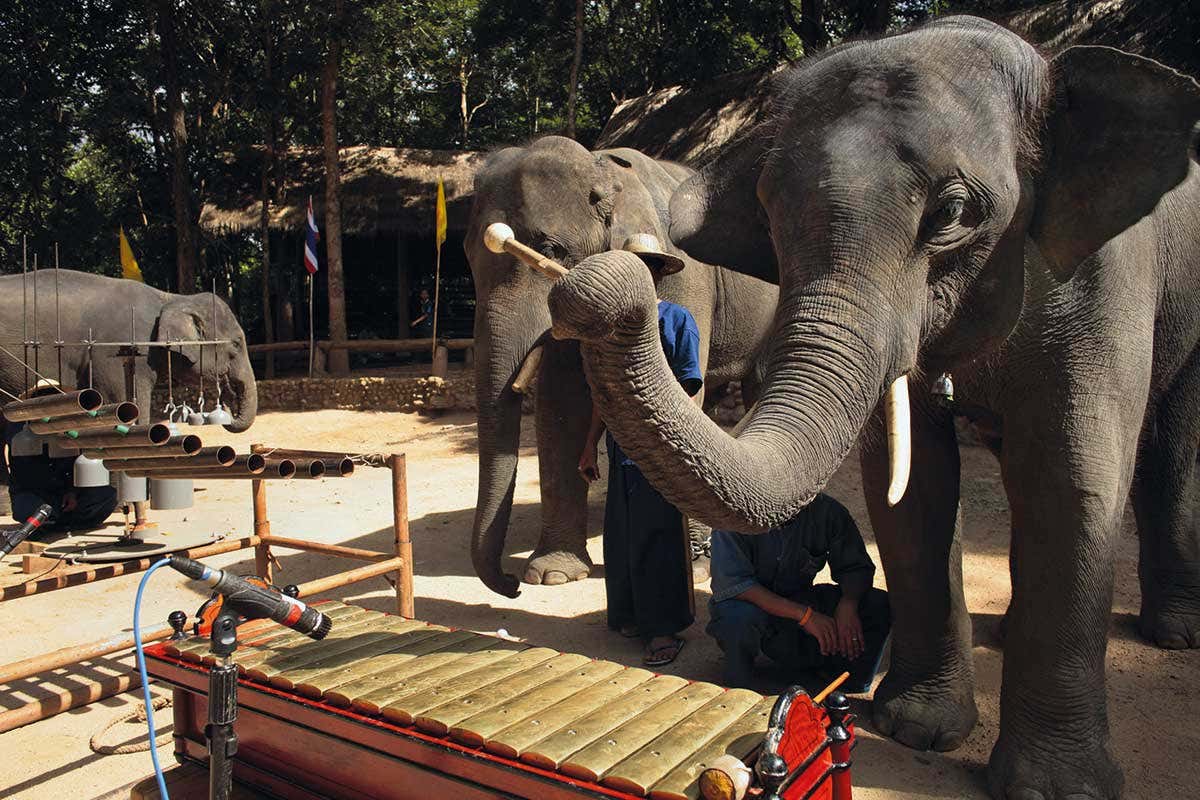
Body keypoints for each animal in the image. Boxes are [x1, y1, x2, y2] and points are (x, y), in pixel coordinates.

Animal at [465, 135, 778, 597]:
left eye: (551, 250)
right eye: (468, 259)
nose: (511, 584)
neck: (604, 168)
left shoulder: (687, 276)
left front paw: (694, 567)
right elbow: (563, 399)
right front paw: (553, 575)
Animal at [546, 16, 1200, 800]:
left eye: (954, 213)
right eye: (768, 212)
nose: (592, 287)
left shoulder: (1104, 274)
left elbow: (1071, 478)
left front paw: (1053, 789)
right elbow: (909, 488)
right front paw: (917, 729)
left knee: (1169, 446)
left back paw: (1174, 635)